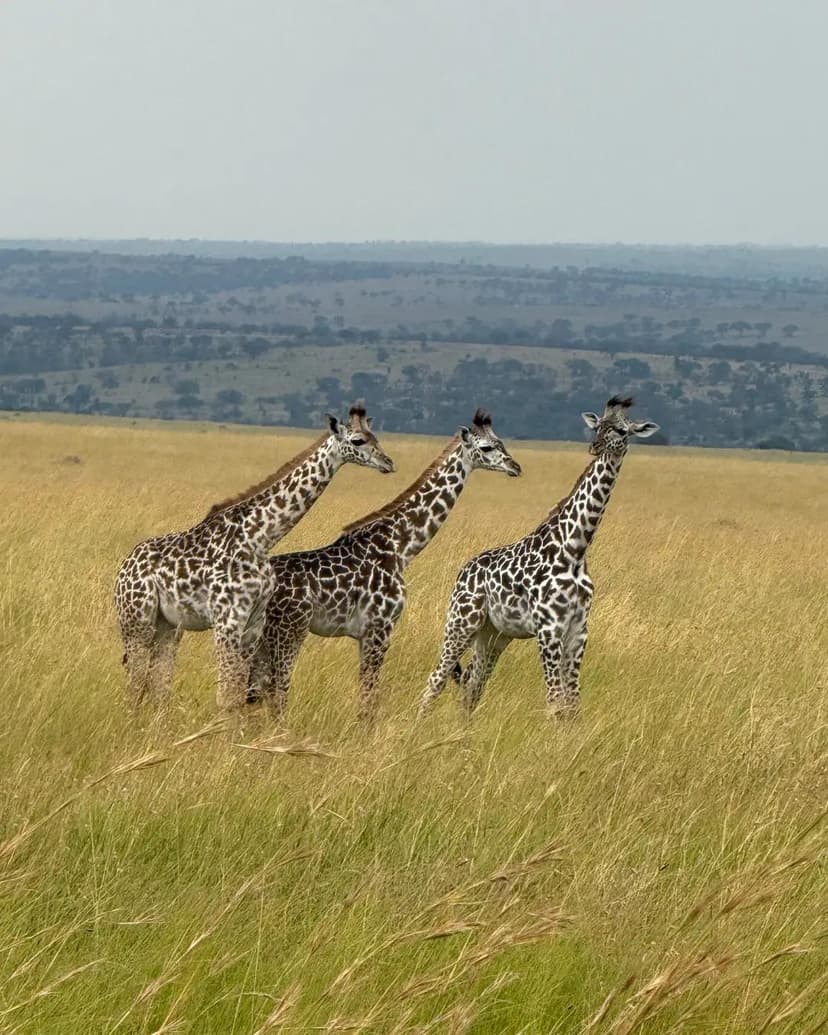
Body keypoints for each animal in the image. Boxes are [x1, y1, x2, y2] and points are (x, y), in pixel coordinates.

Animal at [114, 404, 395, 709]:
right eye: (358, 440)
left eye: (376, 436)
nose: (388, 463)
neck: (259, 539)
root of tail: (124, 568)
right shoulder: (227, 620)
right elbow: (226, 695)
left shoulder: (254, 623)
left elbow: (238, 694)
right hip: (137, 620)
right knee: (135, 683)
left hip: (169, 626)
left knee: (158, 683)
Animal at [247, 409, 522, 722]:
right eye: (486, 447)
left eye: (501, 442)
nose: (515, 466)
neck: (400, 547)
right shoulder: (380, 628)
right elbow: (369, 697)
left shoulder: (368, 633)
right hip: (289, 630)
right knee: (275, 687)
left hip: (265, 636)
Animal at [419, 396, 659, 718]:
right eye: (597, 425)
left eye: (621, 430)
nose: (595, 446)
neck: (575, 549)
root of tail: (463, 571)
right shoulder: (549, 629)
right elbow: (555, 701)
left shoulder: (578, 631)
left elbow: (573, 703)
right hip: (462, 622)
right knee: (437, 678)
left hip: (494, 635)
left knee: (473, 684)